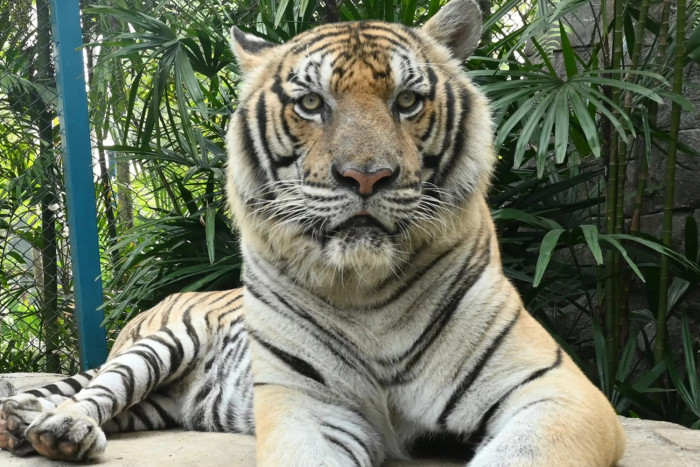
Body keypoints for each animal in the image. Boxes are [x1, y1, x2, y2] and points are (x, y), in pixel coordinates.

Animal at [0, 0, 626, 465]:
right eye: (310, 103)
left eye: (407, 101)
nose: (366, 176)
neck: (368, 293)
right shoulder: (307, 405)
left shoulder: (556, 391)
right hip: (159, 345)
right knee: (94, 391)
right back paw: (59, 428)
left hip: (164, 402)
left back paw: (22, 424)